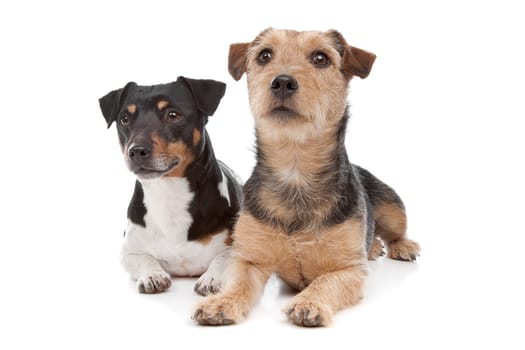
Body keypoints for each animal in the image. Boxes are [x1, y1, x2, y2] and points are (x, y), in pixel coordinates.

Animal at [98, 77, 242, 296]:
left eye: (173, 115)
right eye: (124, 119)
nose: (136, 151)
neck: (169, 193)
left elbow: (223, 258)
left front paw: (212, 278)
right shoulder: (128, 251)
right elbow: (143, 258)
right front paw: (153, 275)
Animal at [194, 28, 420, 326]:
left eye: (321, 58)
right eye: (264, 55)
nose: (282, 82)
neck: (296, 171)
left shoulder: (349, 270)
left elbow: (326, 282)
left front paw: (309, 302)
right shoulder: (248, 259)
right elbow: (238, 283)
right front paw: (222, 302)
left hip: (392, 207)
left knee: (395, 231)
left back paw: (402, 246)